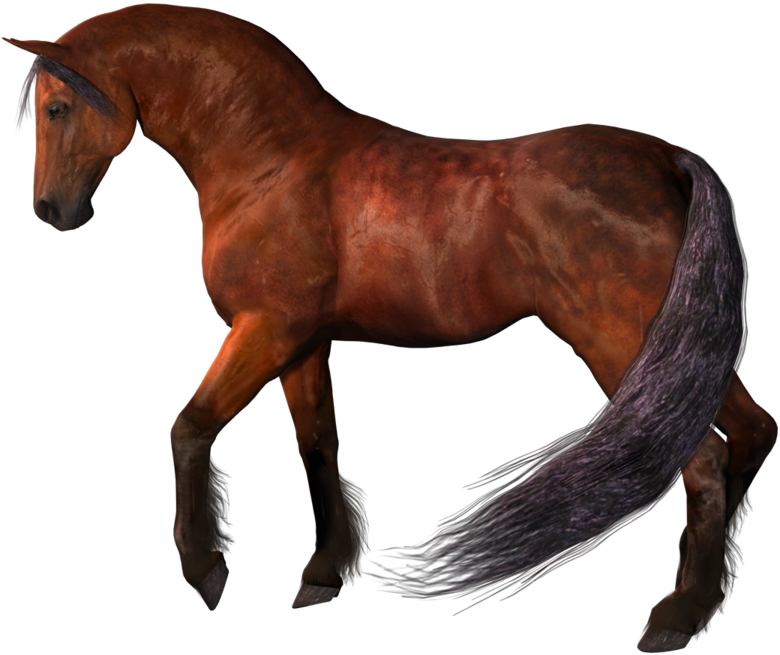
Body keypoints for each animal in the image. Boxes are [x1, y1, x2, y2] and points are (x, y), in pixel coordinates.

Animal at [4, 5, 775, 650]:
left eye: (57, 107)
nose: (50, 210)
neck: (269, 162)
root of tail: (668, 160)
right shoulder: (304, 343)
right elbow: (317, 445)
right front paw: (324, 572)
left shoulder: (265, 329)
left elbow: (190, 426)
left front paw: (206, 570)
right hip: (678, 349)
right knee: (751, 434)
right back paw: (711, 597)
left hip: (624, 344)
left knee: (703, 457)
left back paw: (676, 615)